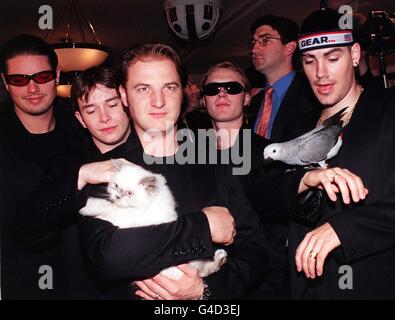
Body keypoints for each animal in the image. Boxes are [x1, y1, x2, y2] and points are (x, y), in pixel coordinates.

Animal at [80, 162, 227, 280]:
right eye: (116, 186)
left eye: (129, 193)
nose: (117, 196)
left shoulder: (125, 217)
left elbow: (106, 208)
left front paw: (87, 209)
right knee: (205, 271)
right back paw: (221, 257)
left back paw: (220, 258)